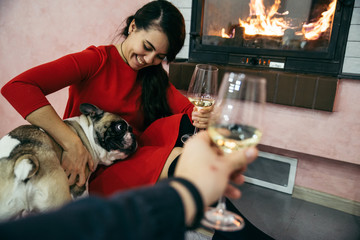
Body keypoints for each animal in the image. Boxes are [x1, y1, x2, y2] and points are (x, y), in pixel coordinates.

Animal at [0, 103, 137, 221]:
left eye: (131, 129)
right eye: (120, 127)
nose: (134, 136)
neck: (87, 131)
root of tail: (22, 164)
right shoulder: (79, 186)